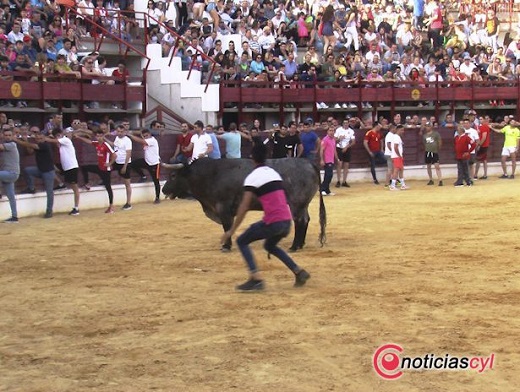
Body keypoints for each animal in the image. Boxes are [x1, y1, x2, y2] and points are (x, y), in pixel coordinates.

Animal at [162, 157, 324, 251]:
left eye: (173, 175)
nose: (163, 189)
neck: (211, 174)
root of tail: (309, 163)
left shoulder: (223, 207)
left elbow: (227, 226)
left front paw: (226, 246)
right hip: (303, 204)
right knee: (305, 220)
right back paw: (300, 244)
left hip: (296, 203)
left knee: (299, 220)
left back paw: (294, 246)